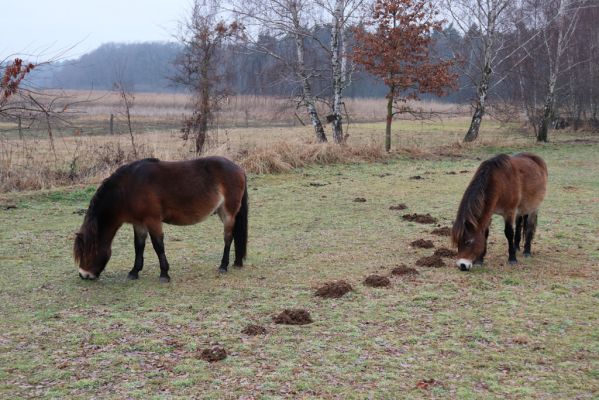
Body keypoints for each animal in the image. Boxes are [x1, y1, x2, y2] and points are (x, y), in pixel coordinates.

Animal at [74, 156, 248, 282]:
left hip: (228, 214)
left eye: (86, 252)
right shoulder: (139, 223)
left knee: (228, 238)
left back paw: (223, 266)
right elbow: (138, 246)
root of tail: (239, 168)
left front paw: (164, 274)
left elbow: (158, 245)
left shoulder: (153, 220)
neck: (128, 188)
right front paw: (134, 272)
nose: (83, 275)